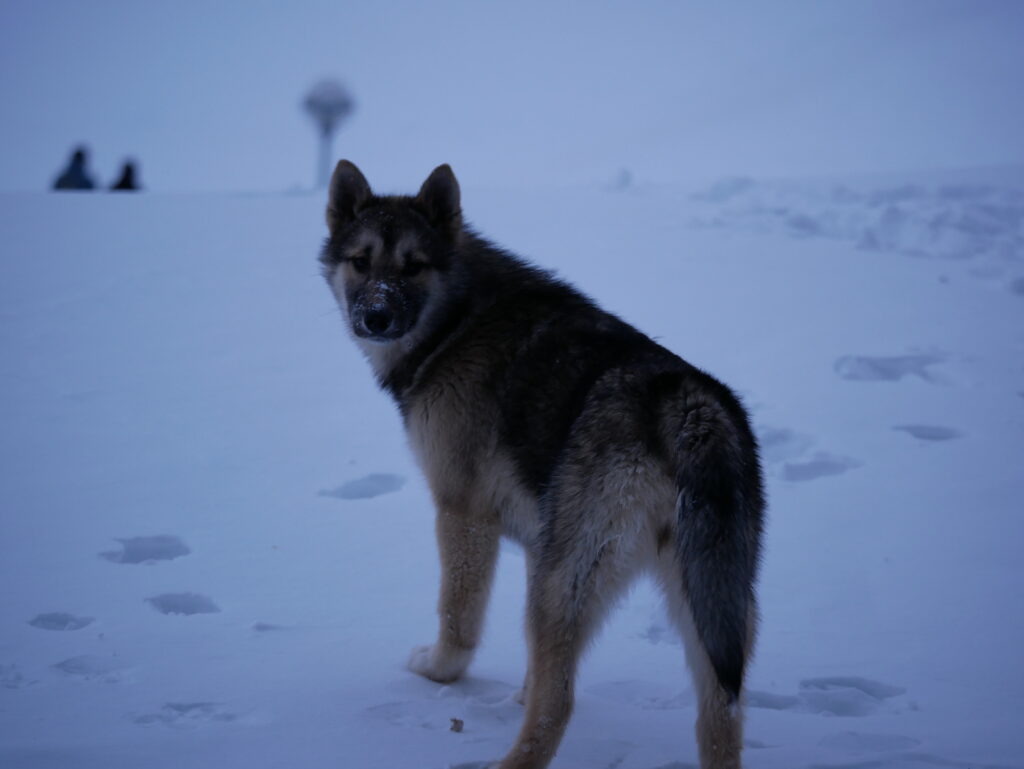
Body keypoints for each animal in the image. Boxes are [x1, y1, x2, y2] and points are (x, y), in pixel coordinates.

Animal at [319, 161, 765, 769]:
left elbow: (458, 618)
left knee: (560, 707)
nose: (377, 316)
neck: (457, 321)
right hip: (713, 604)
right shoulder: (536, 538)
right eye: (361, 261)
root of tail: (687, 406)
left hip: (568, 584)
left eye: (413, 265)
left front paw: (438, 673)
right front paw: (517, 692)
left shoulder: (463, 513)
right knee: (721, 717)